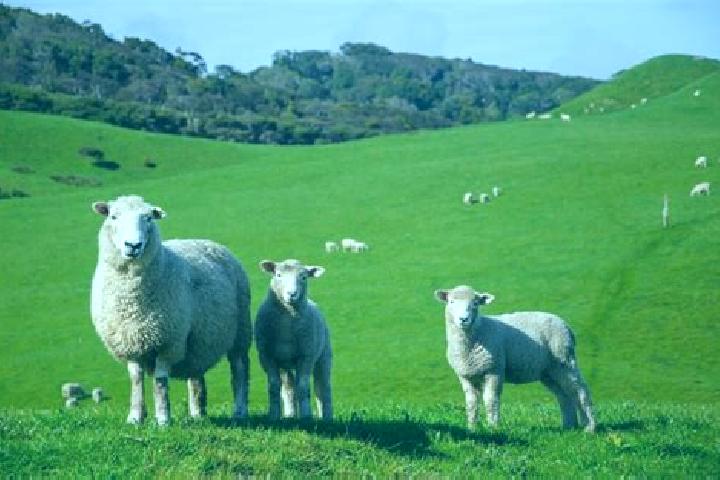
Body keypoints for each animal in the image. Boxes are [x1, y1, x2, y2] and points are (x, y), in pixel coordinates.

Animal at [90, 195, 252, 425]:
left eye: (148, 218)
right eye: (113, 216)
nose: (133, 245)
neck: (131, 301)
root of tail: (208, 242)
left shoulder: (168, 342)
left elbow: (160, 382)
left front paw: (163, 418)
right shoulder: (129, 342)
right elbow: (136, 379)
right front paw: (135, 417)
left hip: (241, 333)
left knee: (239, 369)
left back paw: (240, 410)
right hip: (198, 341)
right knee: (196, 375)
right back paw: (197, 413)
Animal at [255, 259, 333, 420]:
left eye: (303, 277)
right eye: (278, 275)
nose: (292, 294)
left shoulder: (306, 356)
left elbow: (303, 386)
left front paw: (306, 416)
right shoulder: (267, 356)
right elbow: (274, 385)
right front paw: (273, 415)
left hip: (323, 356)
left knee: (322, 386)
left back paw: (327, 416)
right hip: (285, 364)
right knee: (289, 387)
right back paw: (290, 414)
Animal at [434, 285, 596, 432]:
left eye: (475, 303)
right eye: (451, 302)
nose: (463, 319)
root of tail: (566, 326)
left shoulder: (494, 370)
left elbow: (490, 400)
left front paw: (493, 427)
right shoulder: (465, 375)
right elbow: (471, 403)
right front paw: (472, 428)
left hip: (564, 360)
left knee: (580, 390)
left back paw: (589, 427)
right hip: (549, 371)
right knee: (564, 394)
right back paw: (569, 426)